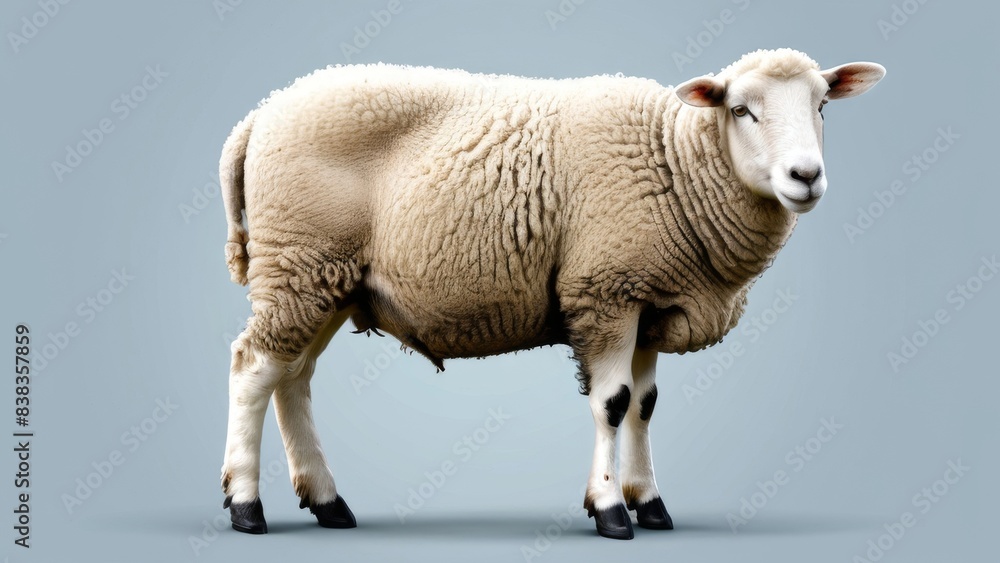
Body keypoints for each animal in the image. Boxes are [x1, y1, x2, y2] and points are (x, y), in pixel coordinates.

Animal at [219, 48, 885, 539]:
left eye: (823, 105)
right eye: (742, 109)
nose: (806, 176)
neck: (678, 161)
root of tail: (260, 115)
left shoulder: (648, 299)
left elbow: (645, 406)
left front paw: (650, 503)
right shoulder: (606, 291)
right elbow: (613, 404)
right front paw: (610, 511)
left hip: (323, 279)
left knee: (293, 378)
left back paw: (327, 502)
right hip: (299, 259)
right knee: (254, 370)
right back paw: (246, 505)